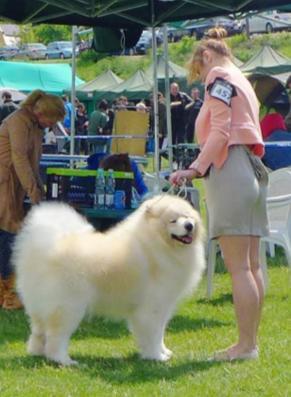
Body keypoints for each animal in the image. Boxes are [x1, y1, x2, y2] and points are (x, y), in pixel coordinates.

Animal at [12, 195, 205, 366]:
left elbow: (161, 333)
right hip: (68, 307)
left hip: (40, 307)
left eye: (188, 217)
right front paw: (156, 357)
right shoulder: (152, 308)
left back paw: (37, 353)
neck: (155, 243)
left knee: (39, 332)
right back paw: (64, 361)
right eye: (173, 220)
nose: (189, 226)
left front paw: (164, 352)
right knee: (56, 337)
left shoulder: (164, 306)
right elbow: (153, 334)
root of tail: (46, 248)